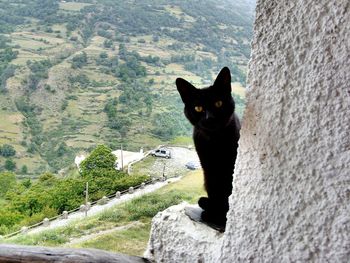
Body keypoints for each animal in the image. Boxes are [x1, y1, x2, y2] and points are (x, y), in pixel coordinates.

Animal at [176, 67, 239, 230]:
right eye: (198, 108)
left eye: (218, 103)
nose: (209, 118)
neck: (214, 141)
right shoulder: (208, 168)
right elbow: (215, 189)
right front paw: (217, 213)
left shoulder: (231, 165)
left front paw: (222, 216)